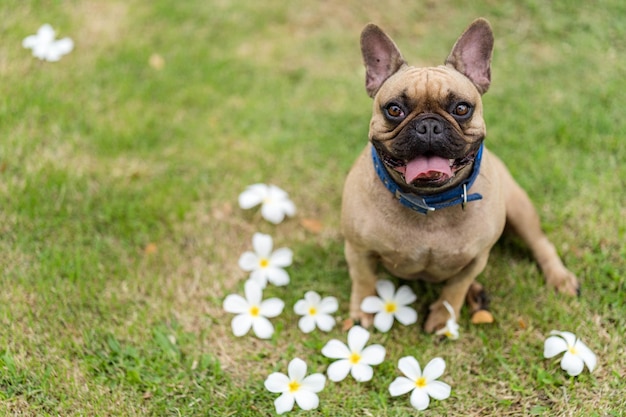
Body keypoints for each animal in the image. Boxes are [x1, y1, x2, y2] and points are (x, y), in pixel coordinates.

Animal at [338, 18, 576, 332]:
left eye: (461, 108)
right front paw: (363, 311)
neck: (430, 201)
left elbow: (456, 287)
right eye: (394, 109)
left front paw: (443, 317)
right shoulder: (358, 249)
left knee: (540, 243)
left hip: (519, 208)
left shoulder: (476, 258)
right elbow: (364, 279)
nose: (428, 125)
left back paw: (559, 278)